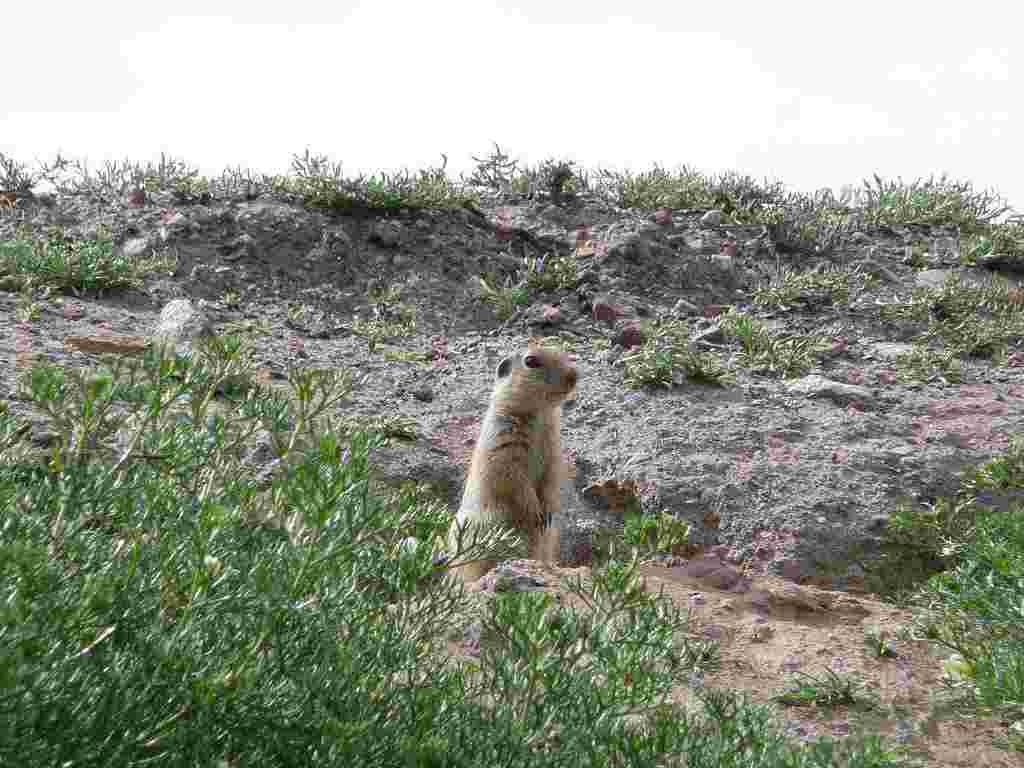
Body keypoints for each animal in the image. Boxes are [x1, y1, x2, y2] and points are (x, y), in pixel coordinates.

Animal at [448, 344, 577, 581]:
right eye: (531, 361)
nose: (574, 375)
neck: (540, 414)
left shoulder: (554, 449)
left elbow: (551, 476)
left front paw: (548, 511)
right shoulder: (504, 444)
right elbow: (513, 477)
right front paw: (535, 511)